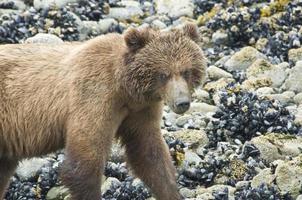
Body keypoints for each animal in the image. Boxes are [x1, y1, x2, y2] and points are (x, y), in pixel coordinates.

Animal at [0, 23, 205, 200]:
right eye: (163, 74)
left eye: (186, 71)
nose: (182, 102)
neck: (124, 89)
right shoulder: (94, 98)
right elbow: (85, 162)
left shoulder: (140, 111)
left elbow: (149, 156)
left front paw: (170, 191)